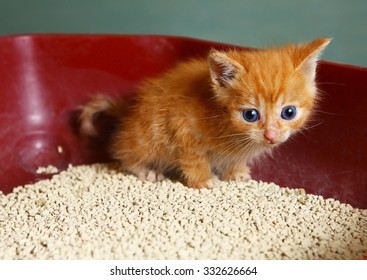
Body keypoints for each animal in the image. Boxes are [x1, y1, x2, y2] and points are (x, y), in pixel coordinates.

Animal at [79, 37, 332, 188]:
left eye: (288, 112)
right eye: (250, 115)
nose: (271, 135)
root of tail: (128, 113)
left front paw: (236, 173)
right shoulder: (182, 125)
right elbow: (194, 159)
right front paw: (204, 181)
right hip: (145, 138)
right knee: (124, 153)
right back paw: (146, 170)